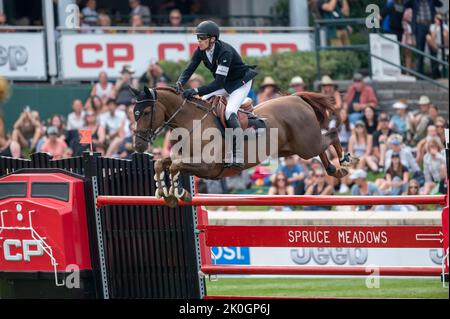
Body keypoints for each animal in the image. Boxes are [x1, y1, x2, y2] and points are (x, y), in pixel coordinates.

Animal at [131, 87, 358, 208]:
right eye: (134, 112)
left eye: (146, 112)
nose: (138, 145)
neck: (192, 123)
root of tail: (296, 98)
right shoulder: (186, 159)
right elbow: (162, 163)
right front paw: (165, 192)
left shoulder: (208, 167)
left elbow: (175, 166)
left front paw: (177, 193)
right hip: (293, 148)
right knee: (322, 147)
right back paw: (335, 169)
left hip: (305, 145)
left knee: (331, 135)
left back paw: (344, 162)